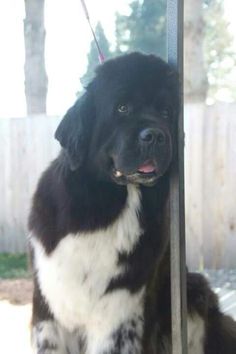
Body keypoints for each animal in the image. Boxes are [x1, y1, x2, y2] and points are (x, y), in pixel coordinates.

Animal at [29, 53, 236, 354]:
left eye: (166, 112)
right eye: (122, 107)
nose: (155, 135)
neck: (115, 206)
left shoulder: (120, 312)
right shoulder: (50, 311)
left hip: (194, 293)